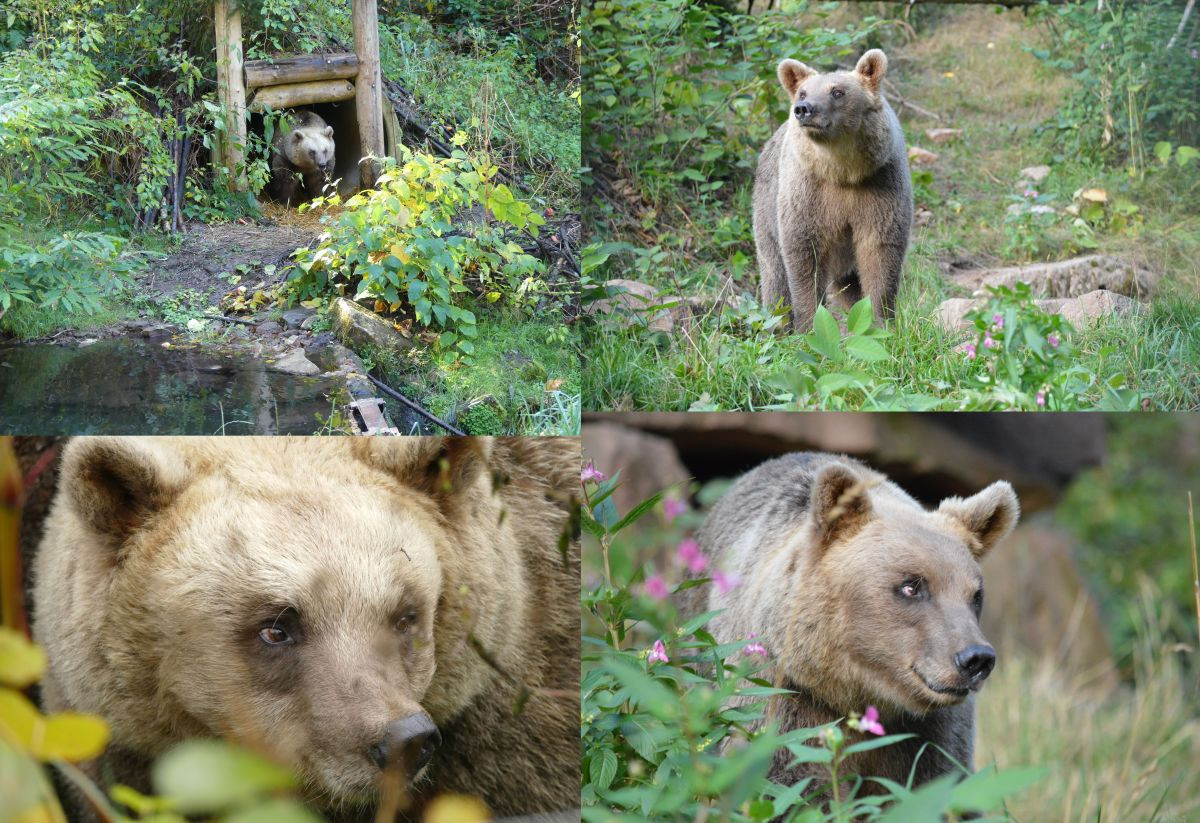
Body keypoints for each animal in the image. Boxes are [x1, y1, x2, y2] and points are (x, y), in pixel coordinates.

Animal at [700, 453, 1017, 796]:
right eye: (911, 586)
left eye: (976, 595)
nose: (976, 659)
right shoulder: (782, 697)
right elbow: (782, 781)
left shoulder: (929, 733)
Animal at [753, 48, 912, 331]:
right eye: (803, 92)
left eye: (837, 92)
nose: (804, 109)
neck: (842, 171)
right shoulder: (808, 193)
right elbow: (804, 257)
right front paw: (808, 325)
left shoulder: (881, 187)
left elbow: (880, 252)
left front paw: (880, 322)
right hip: (765, 209)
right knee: (774, 274)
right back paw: (778, 324)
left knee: (848, 283)